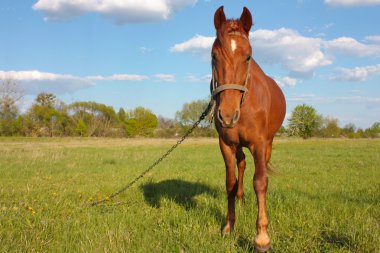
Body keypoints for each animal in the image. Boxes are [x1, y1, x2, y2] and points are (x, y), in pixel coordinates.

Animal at [211, 5, 284, 251]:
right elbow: (230, 183)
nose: (226, 115)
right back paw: (241, 198)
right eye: (213, 56)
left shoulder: (259, 143)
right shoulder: (226, 144)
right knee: (241, 164)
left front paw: (262, 237)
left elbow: (260, 182)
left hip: (268, 143)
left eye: (248, 56)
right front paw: (228, 226)